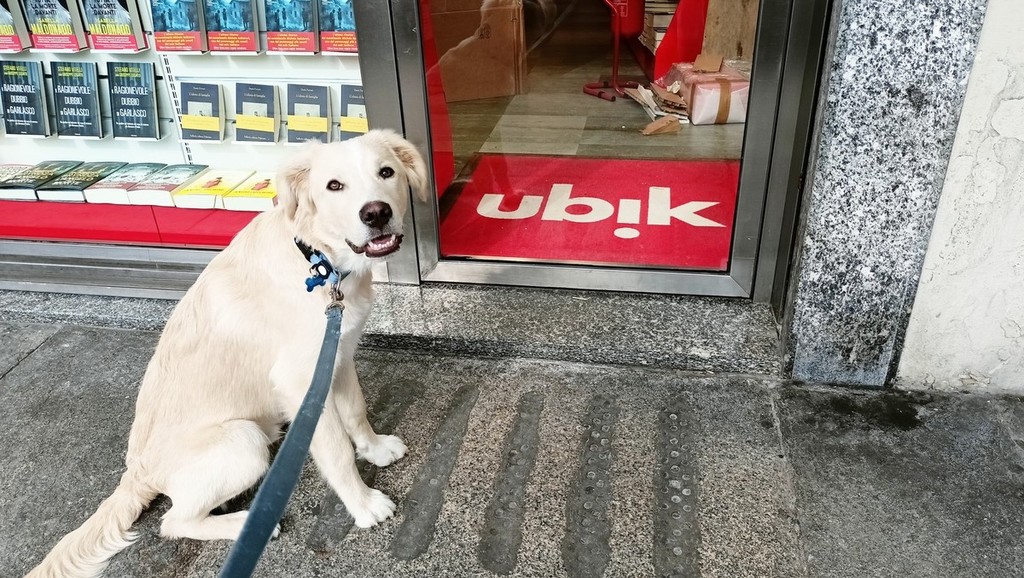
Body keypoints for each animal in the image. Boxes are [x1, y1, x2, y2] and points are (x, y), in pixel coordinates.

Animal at [27, 129, 429, 578]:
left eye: (386, 172)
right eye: (334, 186)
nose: (376, 213)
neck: (318, 260)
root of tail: (137, 473)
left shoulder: (336, 353)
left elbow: (356, 411)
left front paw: (374, 450)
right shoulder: (299, 383)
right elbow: (336, 451)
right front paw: (363, 505)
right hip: (242, 441)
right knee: (174, 521)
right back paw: (245, 524)